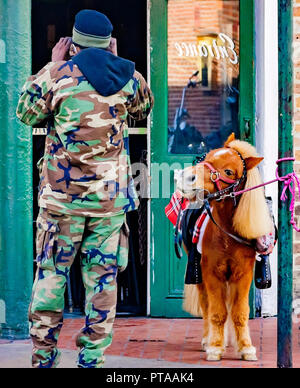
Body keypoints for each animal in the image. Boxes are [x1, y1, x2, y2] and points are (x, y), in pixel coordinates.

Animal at [175, 135, 274, 362]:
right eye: (207, 156)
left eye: (229, 171)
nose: (186, 177)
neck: (227, 234)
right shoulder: (212, 274)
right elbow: (217, 312)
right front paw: (214, 348)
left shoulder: (243, 275)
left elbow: (239, 312)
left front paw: (246, 348)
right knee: (206, 306)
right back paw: (207, 339)